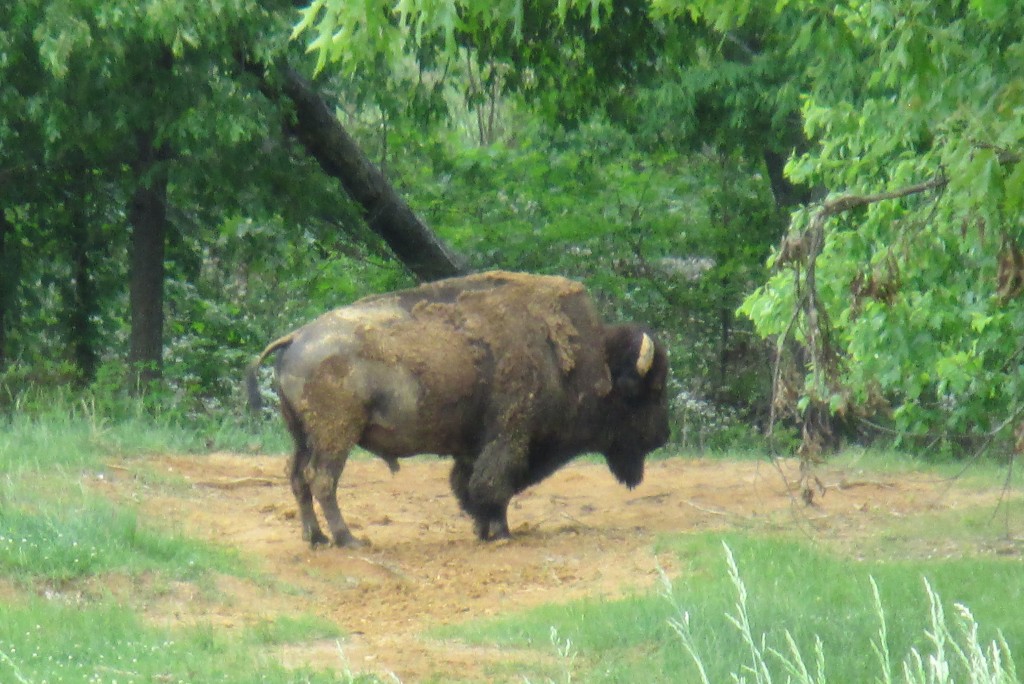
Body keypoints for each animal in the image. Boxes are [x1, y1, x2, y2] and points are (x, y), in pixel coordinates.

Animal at [243, 270, 667, 548]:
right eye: (648, 389)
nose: (661, 436)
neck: (590, 360)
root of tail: (296, 337)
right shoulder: (510, 435)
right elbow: (495, 482)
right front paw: (501, 533)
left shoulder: (474, 446)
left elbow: (469, 483)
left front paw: (484, 529)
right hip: (335, 436)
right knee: (322, 480)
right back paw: (349, 540)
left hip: (302, 436)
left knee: (297, 478)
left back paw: (315, 538)